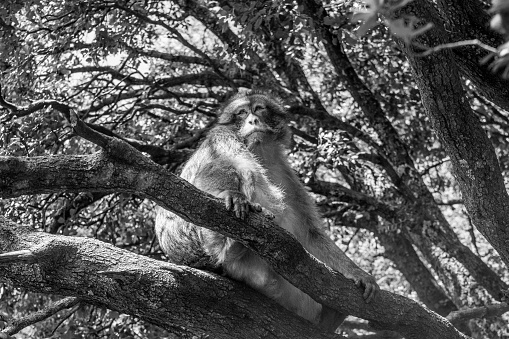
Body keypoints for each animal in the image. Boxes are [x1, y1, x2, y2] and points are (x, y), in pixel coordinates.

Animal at [155, 90, 378, 332]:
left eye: (259, 109)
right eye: (242, 112)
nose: (253, 120)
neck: (259, 150)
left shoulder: (286, 172)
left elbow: (311, 232)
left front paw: (356, 272)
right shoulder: (221, 136)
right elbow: (213, 167)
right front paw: (229, 195)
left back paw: (329, 317)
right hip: (194, 239)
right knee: (244, 169)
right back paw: (231, 248)